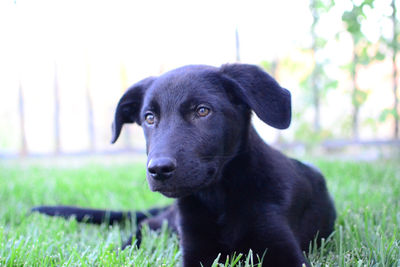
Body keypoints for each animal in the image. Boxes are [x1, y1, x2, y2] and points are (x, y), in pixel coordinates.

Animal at [33, 64, 334, 267]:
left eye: (202, 111)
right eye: (149, 118)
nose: (158, 169)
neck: (218, 198)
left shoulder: (282, 248)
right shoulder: (194, 249)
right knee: (145, 224)